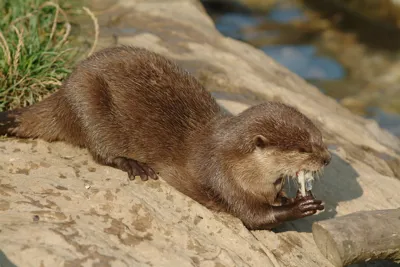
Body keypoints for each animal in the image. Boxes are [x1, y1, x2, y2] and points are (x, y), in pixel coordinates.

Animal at [0, 45, 332, 230]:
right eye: (303, 148)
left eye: (320, 139)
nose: (327, 159)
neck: (241, 167)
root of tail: (62, 93)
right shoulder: (220, 177)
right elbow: (253, 217)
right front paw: (298, 207)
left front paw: (291, 197)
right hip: (87, 102)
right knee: (100, 150)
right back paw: (134, 165)